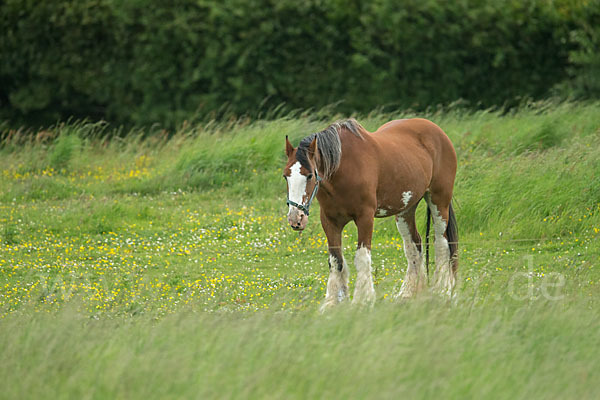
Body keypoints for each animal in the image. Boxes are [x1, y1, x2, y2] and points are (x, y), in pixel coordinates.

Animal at [284, 117, 458, 310]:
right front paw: (333, 302)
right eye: (286, 176)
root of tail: (437, 131)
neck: (343, 168)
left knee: (442, 244)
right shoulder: (329, 221)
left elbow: (361, 258)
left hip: (439, 201)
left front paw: (362, 300)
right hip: (406, 209)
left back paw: (442, 290)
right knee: (414, 246)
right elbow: (336, 261)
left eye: (309, 175)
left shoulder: (365, 217)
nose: (295, 219)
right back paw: (407, 294)